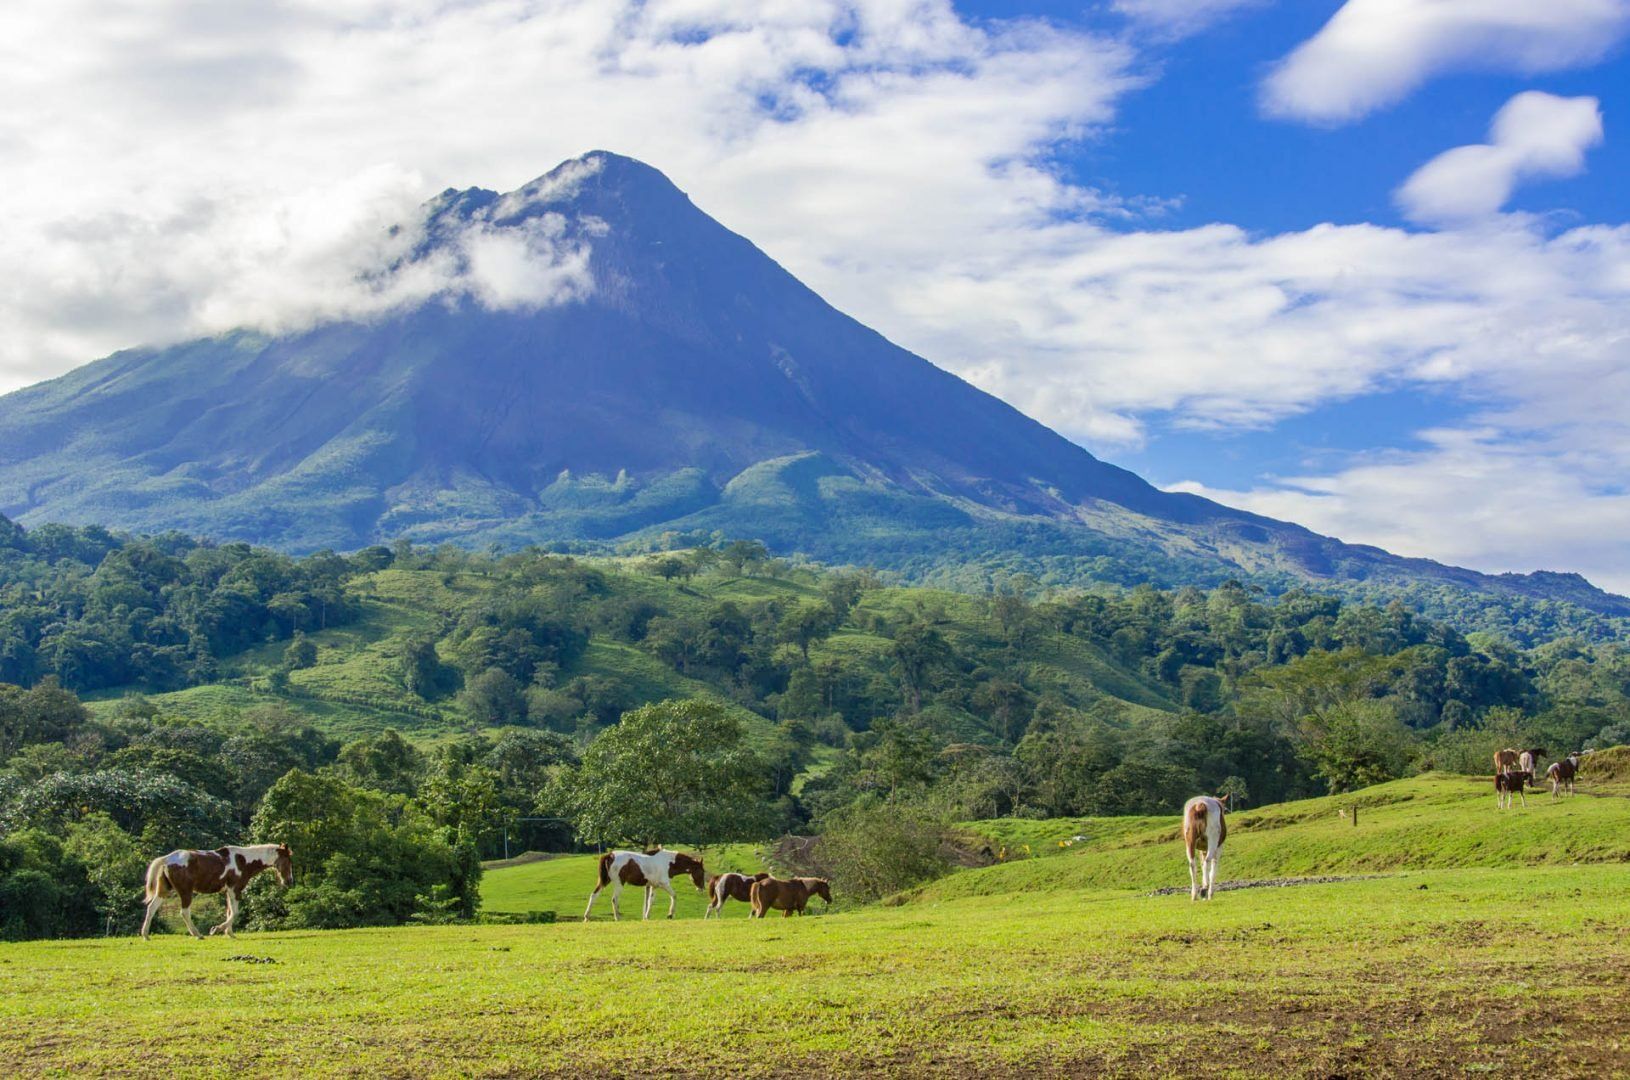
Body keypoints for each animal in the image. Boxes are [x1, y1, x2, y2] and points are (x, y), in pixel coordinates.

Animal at [140, 840, 293, 944]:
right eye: (288, 861)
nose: (289, 881)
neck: (243, 861)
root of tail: (166, 859)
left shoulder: (228, 891)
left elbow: (230, 912)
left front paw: (229, 933)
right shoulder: (234, 890)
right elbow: (235, 912)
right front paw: (217, 929)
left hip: (164, 891)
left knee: (151, 908)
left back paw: (146, 935)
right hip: (186, 892)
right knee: (184, 912)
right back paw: (198, 934)